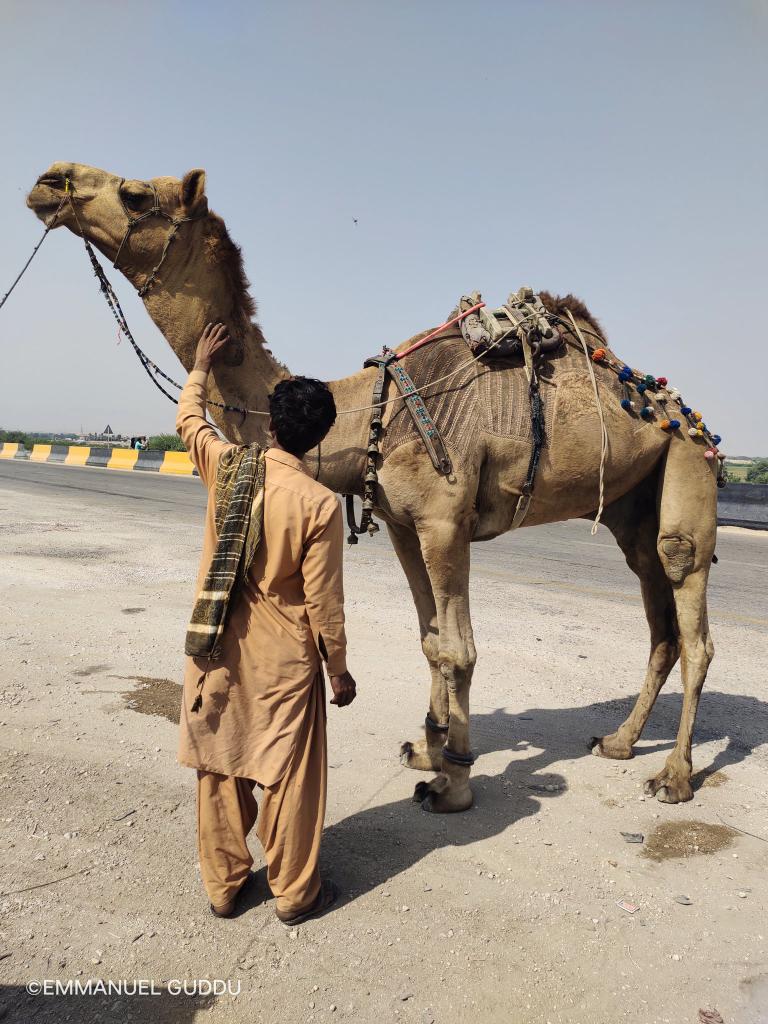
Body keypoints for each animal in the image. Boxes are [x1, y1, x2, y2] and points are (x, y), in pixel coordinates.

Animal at [27, 163, 720, 813]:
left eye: (137, 194)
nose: (48, 182)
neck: (365, 415)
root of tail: (683, 410)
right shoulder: (403, 526)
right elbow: (432, 640)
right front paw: (428, 749)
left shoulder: (445, 521)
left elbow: (460, 648)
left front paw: (453, 787)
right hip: (632, 502)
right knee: (659, 620)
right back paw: (620, 742)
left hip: (687, 464)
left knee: (691, 612)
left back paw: (674, 777)